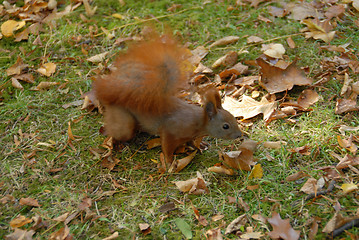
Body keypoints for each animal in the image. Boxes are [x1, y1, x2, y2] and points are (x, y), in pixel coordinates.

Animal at [93, 35, 245, 165]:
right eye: (225, 126)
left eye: (233, 117)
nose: (239, 135)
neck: (199, 121)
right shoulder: (170, 131)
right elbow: (167, 147)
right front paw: (170, 162)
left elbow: (191, 142)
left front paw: (199, 145)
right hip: (124, 122)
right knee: (117, 132)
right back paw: (123, 143)